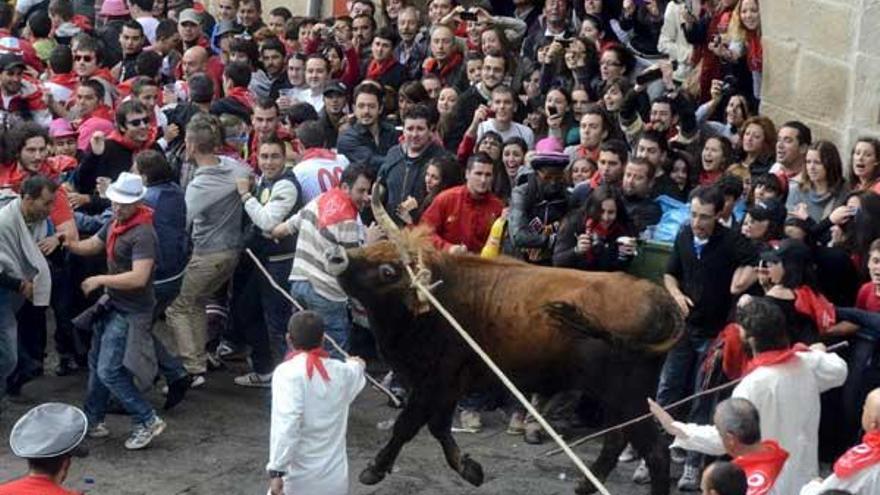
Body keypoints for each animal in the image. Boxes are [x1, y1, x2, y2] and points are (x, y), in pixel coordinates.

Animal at [324, 191, 688, 495]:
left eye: (388, 271)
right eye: (373, 248)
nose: (337, 256)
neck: (436, 302)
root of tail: (661, 298)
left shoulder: (433, 385)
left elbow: (407, 426)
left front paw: (374, 469)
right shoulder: (448, 387)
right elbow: (439, 428)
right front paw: (470, 469)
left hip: (627, 396)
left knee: (654, 452)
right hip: (617, 399)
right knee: (616, 439)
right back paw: (585, 484)